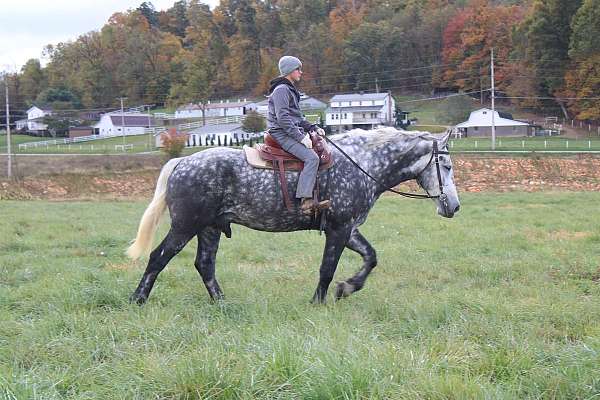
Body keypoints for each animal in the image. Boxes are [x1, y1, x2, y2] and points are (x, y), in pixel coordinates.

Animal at [126, 127, 460, 304]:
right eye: (446, 166)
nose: (454, 207)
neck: (361, 163)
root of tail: (181, 163)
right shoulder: (338, 229)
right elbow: (327, 268)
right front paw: (319, 301)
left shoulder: (349, 229)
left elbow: (371, 257)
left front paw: (347, 287)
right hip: (185, 226)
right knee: (158, 257)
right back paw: (137, 299)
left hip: (210, 228)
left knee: (204, 264)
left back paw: (222, 303)